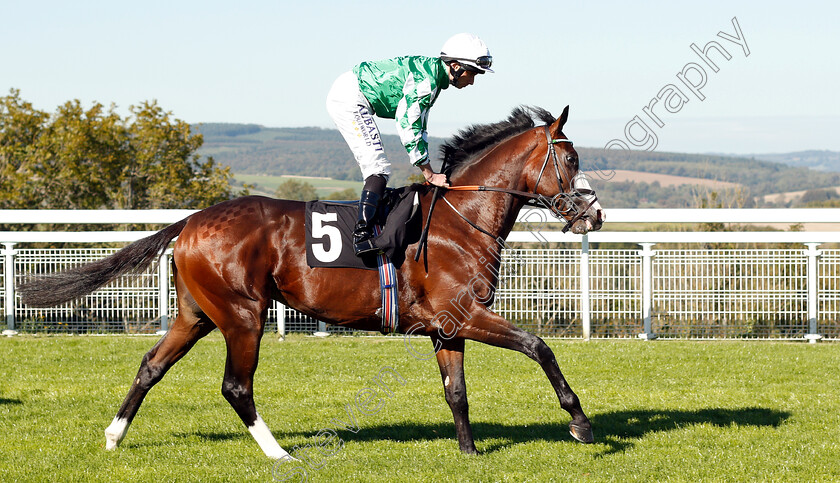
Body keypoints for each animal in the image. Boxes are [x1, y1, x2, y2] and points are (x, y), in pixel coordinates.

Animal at [19, 105, 604, 458]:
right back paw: (277, 452)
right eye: (571, 157)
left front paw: (468, 452)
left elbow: (456, 391)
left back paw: (113, 436)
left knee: (150, 367)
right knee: (236, 385)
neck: (461, 219)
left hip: (196, 314)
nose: (594, 214)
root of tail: (190, 221)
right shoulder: (465, 314)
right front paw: (579, 421)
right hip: (243, 314)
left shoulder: (447, 325)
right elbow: (538, 345)